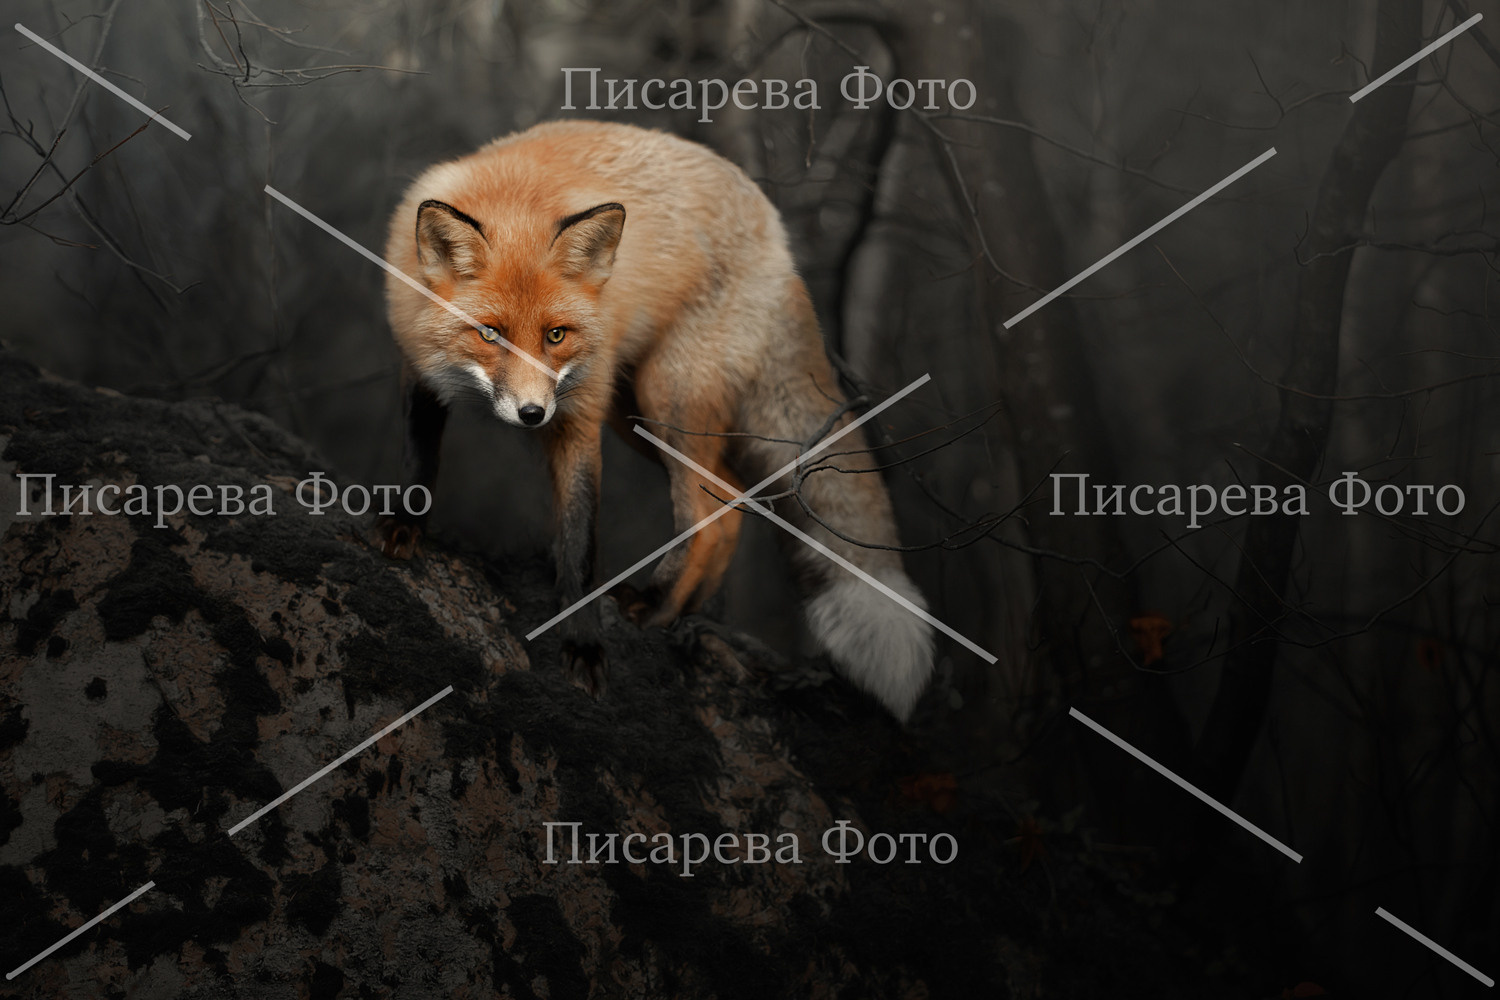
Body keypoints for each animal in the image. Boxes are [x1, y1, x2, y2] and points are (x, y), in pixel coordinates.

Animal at [374, 120, 934, 720]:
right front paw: (405, 526)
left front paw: (584, 646)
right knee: (729, 502)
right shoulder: (419, 367)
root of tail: (776, 236)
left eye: (555, 335)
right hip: (638, 414)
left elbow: (581, 545)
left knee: (705, 515)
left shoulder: (579, 417)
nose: (532, 414)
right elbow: (420, 458)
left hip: (669, 401)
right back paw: (678, 616)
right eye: (489, 334)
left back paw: (653, 605)